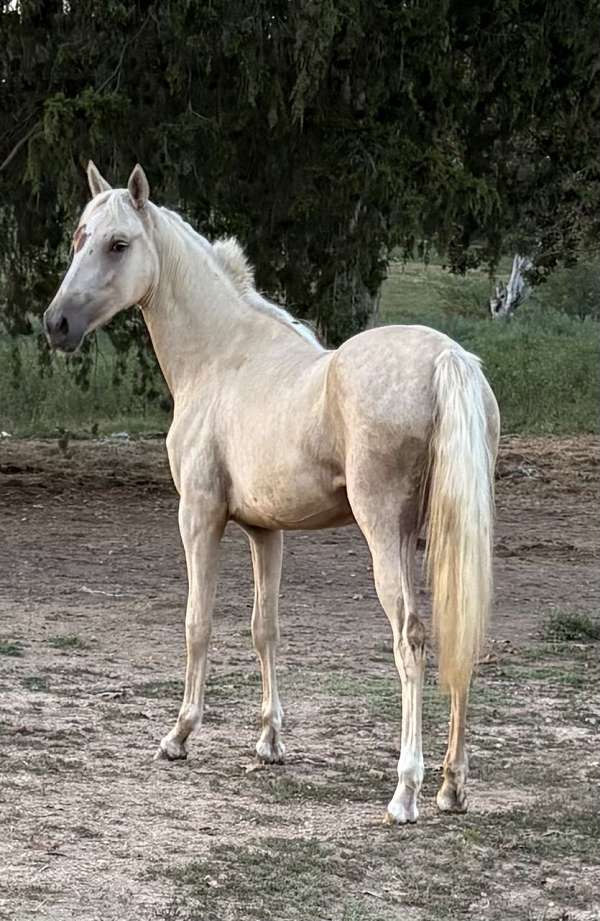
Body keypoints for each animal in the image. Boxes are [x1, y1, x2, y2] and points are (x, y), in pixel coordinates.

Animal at [44, 162, 499, 824]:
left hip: (386, 534)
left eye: (119, 244)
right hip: (445, 537)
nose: (57, 325)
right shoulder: (266, 530)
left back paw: (407, 790)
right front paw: (269, 741)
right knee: (458, 635)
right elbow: (267, 628)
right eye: (80, 237)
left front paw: (179, 735)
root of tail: (448, 357)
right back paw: (452, 786)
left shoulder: (199, 517)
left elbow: (198, 621)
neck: (222, 357)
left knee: (411, 638)